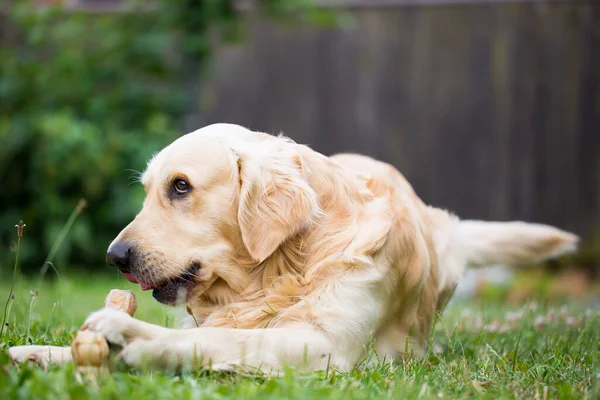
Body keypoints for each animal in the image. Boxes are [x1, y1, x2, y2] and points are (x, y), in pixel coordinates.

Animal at [9, 123, 580, 374]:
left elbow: (216, 341)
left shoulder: (323, 348)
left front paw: (133, 338)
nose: (115, 257)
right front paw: (40, 352)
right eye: (149, 189)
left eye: (181, 187)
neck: (281, 269)